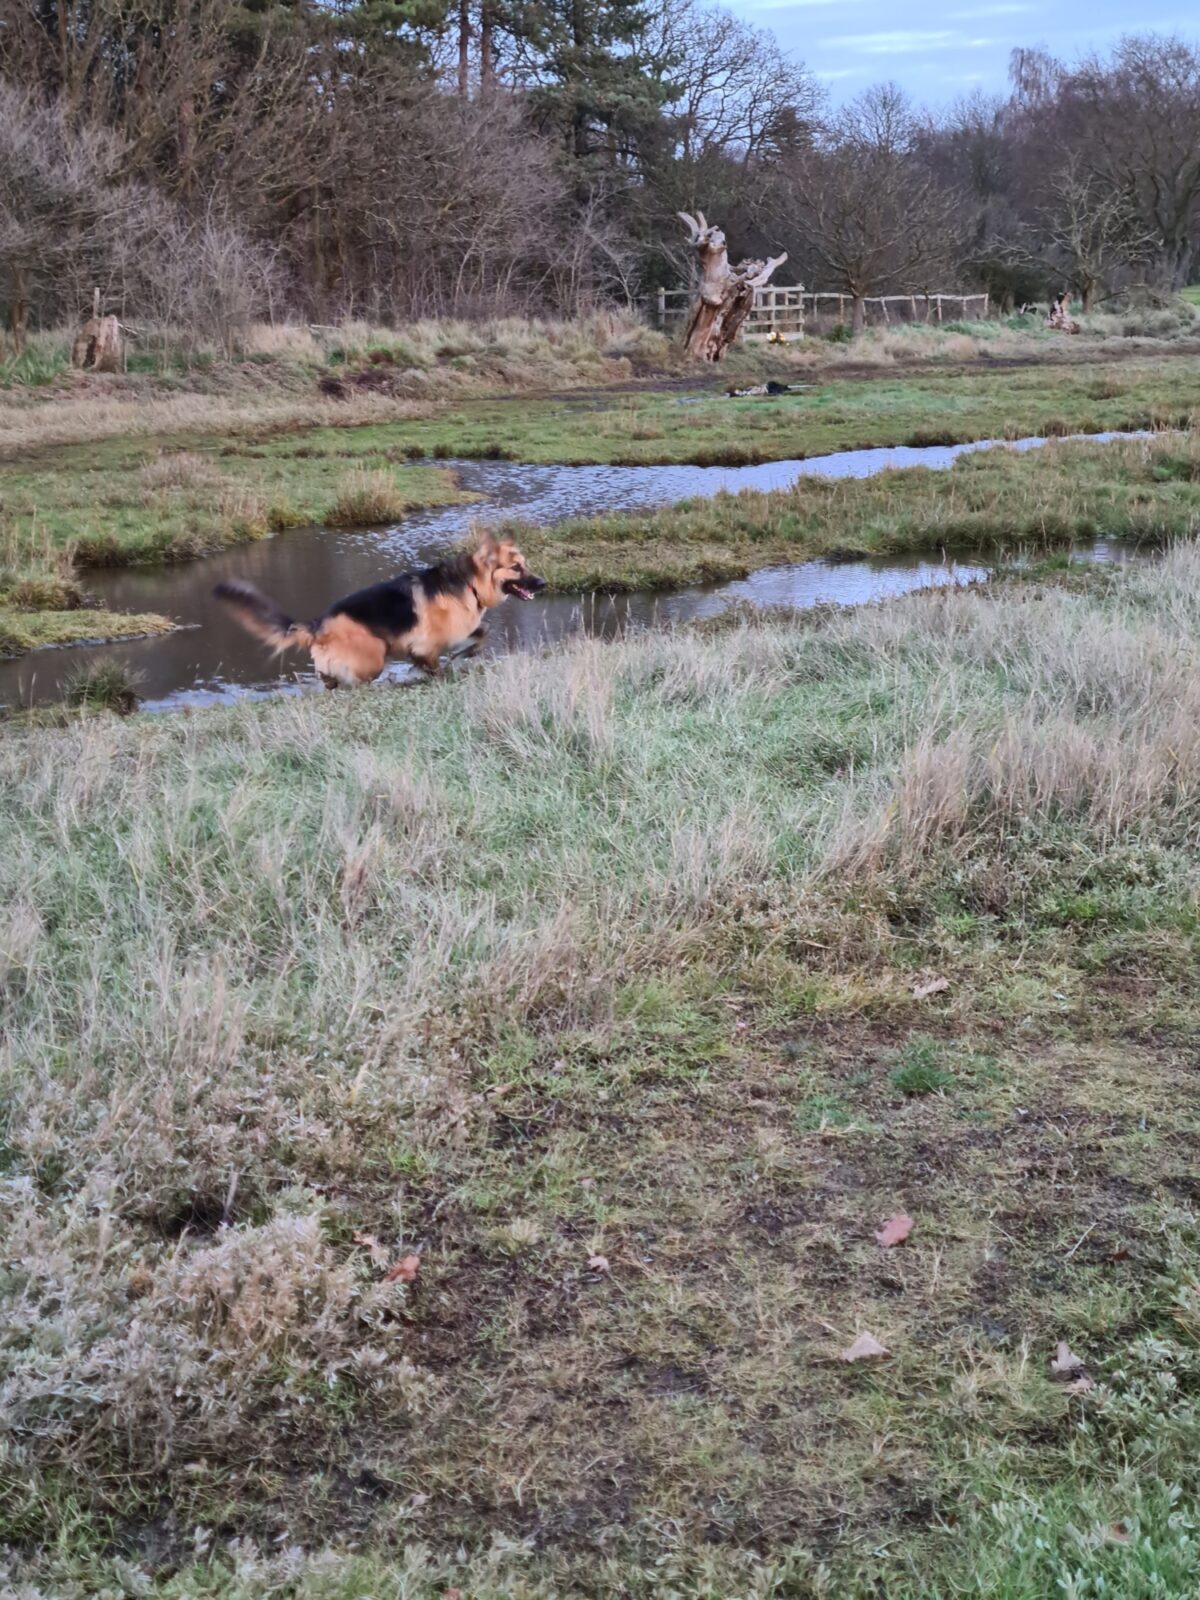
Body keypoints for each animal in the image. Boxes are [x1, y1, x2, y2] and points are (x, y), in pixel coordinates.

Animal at [217, 537, 550, 688]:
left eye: (525, 565)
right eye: (516, 567)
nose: (543, 583)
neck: (469, 584)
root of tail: (319, 624)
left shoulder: (461, 632)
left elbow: (482, 635)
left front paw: (463, 656)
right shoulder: (426, 646)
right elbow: (436, 665)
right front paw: (439, 672)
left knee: (329, 681)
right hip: (373, 658)